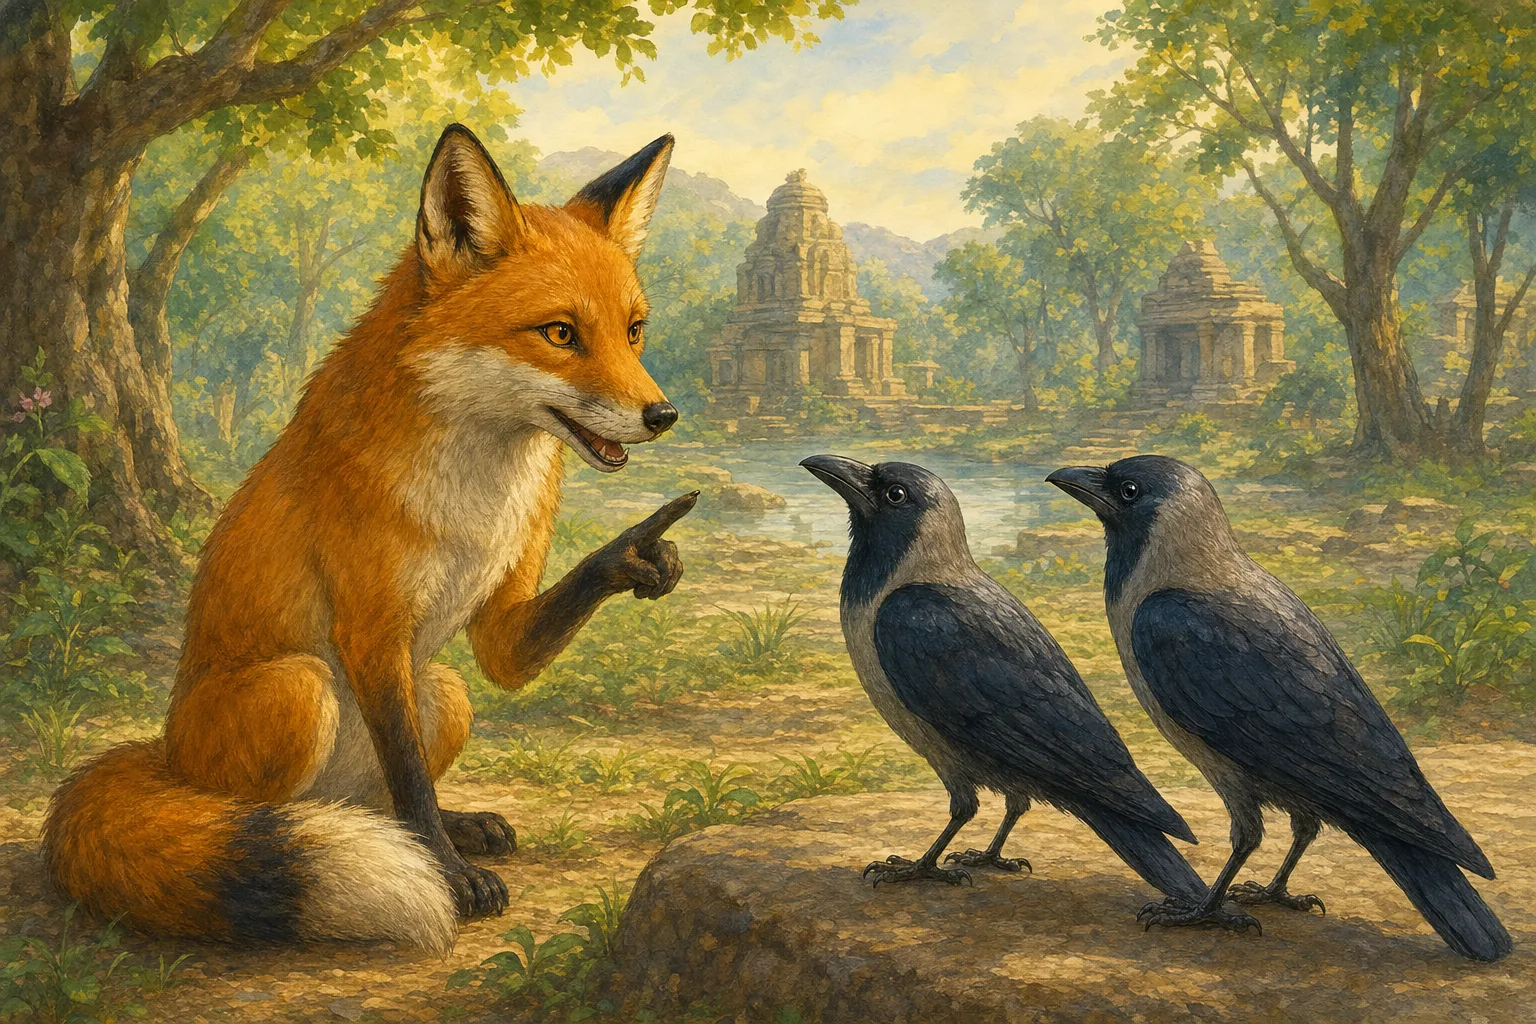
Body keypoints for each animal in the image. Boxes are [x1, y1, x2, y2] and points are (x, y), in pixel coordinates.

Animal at [42, 125, 698, 952]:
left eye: (634, 331)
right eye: (560, 333)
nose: (662, 416)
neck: (477, 496)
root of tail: (160, 753)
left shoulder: (494, 628)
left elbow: (488, 681)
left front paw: (642, 553)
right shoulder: (371, 629)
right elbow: (411, 781)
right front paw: (449, 879)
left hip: (442, 690)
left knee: (378, 797)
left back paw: (450, 825)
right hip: (301, 688)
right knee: (266, 811)